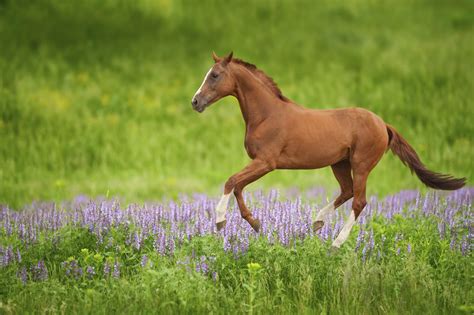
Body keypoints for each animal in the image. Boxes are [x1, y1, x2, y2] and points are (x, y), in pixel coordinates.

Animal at [191, 51, 464, 249]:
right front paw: (256, 224)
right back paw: (317, 222)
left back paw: (336, 243)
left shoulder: (266, 162)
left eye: (215, 75)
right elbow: (238, 186)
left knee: (359, 200)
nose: (195, 102)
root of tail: (383, 124)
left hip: (361, 165)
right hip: (339, 163)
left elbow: (231, 181)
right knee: (347, 192)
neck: (267, 115)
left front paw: (219, 221)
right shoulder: (261, 163)